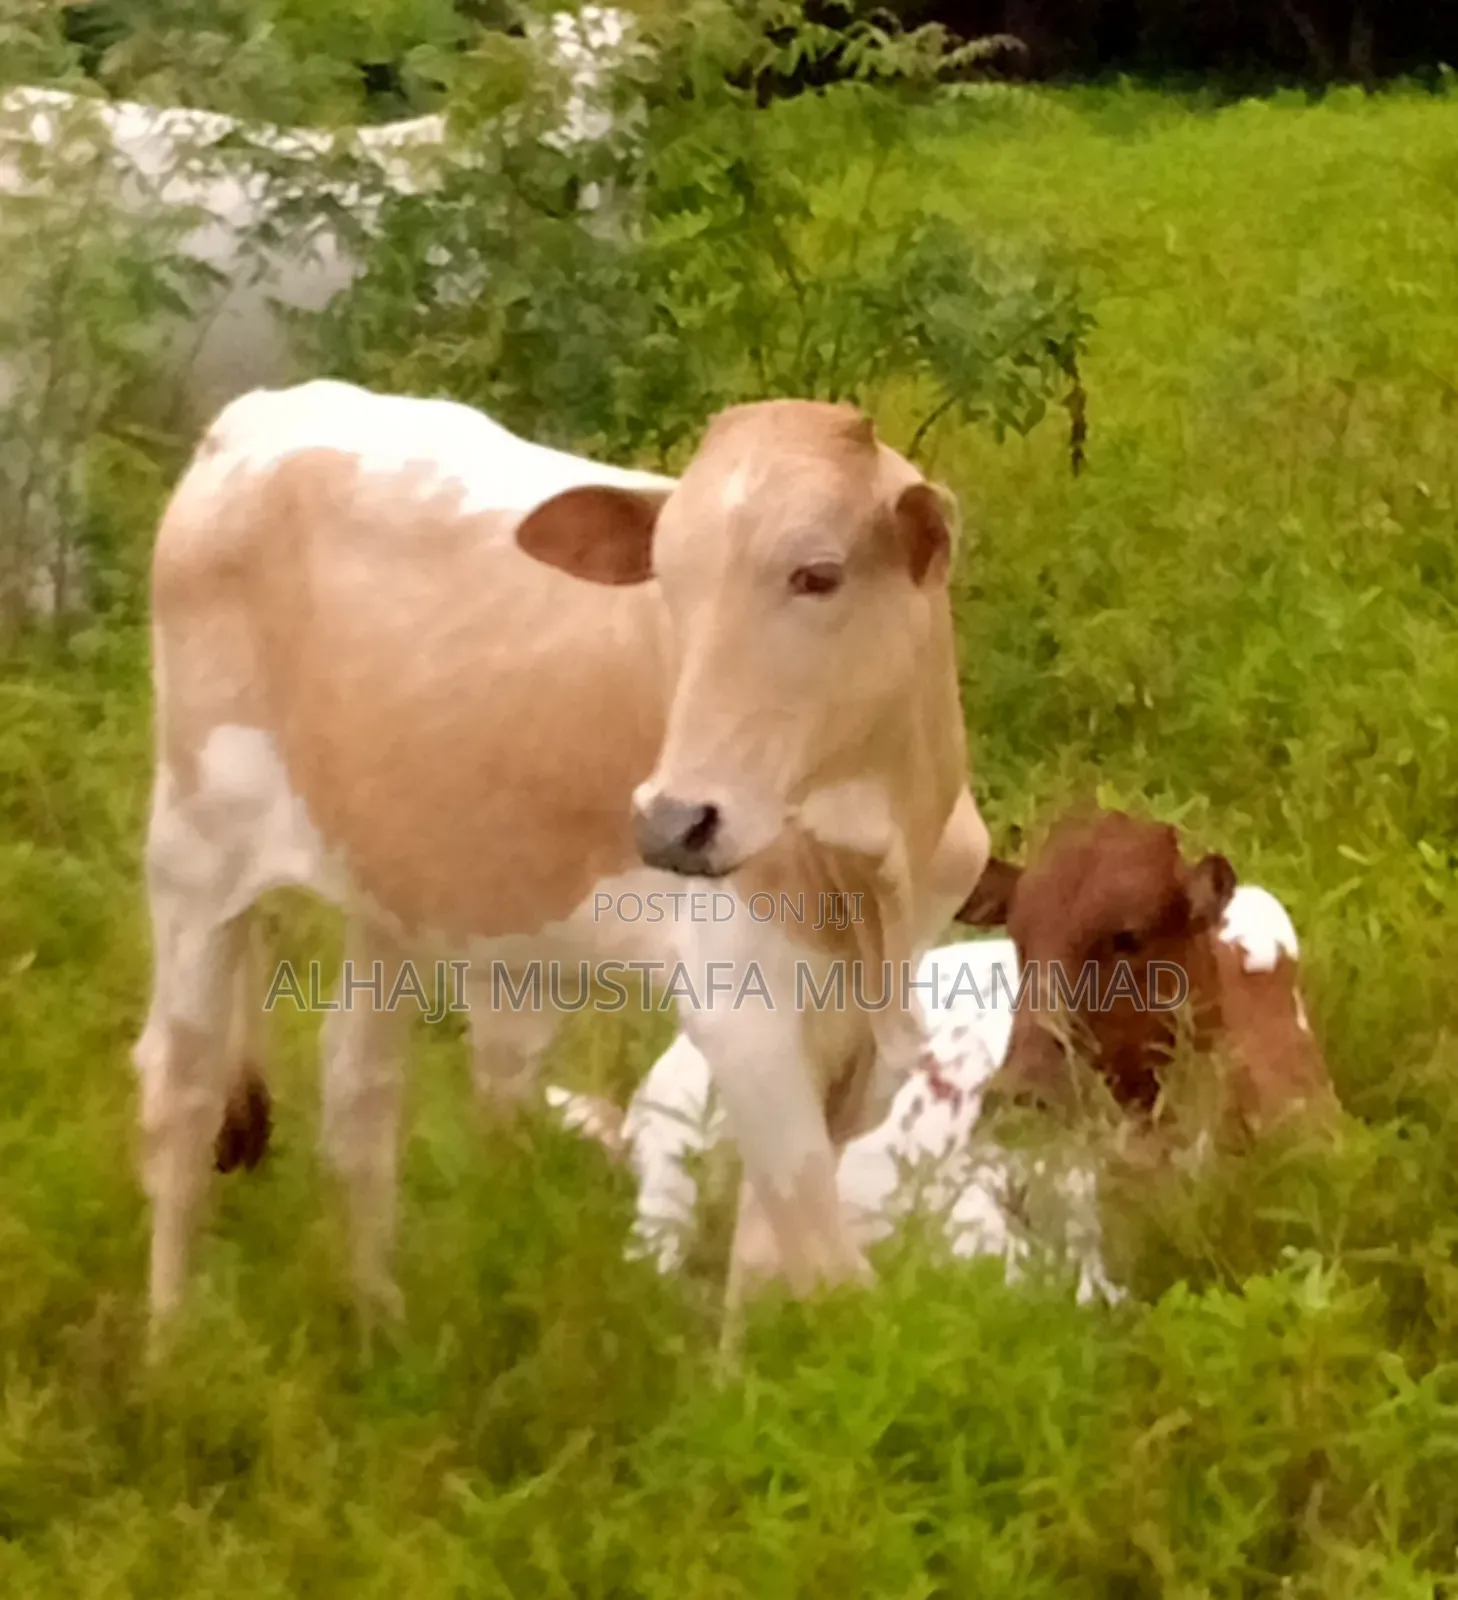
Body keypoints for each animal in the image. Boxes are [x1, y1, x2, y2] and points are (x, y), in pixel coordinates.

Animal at [134, 377, 990, 1340]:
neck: (879, 857)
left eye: (819, 574)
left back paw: (381, 1323)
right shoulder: (740, 1003)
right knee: (181, 1092)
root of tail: (261, 410)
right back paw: (171, 1344)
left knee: (359, 1091)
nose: (672, 823)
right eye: (669, 581)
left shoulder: (861, 1027)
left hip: (391, 883)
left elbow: (765, 1262)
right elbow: (828, 1271)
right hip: (196, 848)